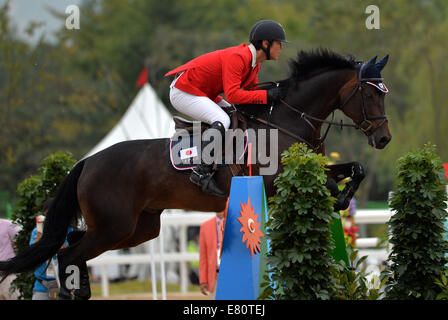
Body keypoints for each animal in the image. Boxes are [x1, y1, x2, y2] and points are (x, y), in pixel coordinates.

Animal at [0, 48, 390, 298]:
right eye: (370, 96)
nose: (384, 139)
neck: (287, 120)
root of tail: (87, 163)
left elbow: (354, 169)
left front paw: (343, 197)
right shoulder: (270, 182)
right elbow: (329, 181)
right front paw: (338, 197)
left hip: (136, 228)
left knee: (74, 244)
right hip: (115, 226)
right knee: (68, 255)